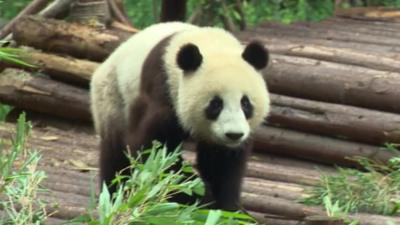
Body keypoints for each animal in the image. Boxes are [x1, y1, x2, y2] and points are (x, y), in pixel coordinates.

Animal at [90, 22, 270, 210]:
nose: (234, 134)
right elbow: (152, 151)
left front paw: (225, 206)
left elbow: (223, 164)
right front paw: (200, 193)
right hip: (113, 98)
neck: (212, 44)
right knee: (115, 155)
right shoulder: (163, 93)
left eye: (245, 103)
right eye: (216, 104)